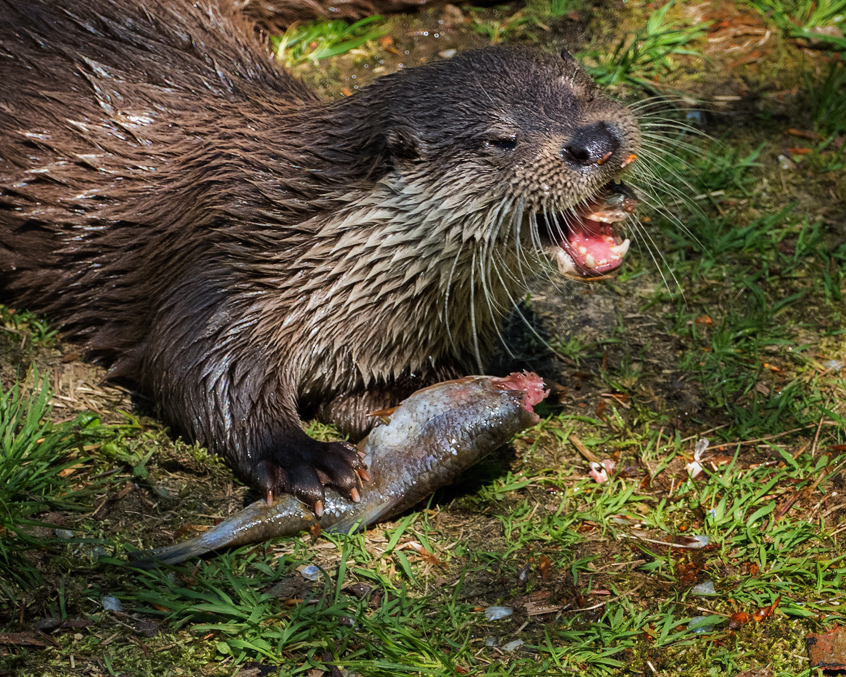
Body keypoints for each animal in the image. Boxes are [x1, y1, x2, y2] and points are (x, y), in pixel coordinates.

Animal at [0, 0, 640, 510]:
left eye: (586, 92)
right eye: (501, 140)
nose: (596, 143)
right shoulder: (225, 278)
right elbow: (194, 374)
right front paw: (302, 457)